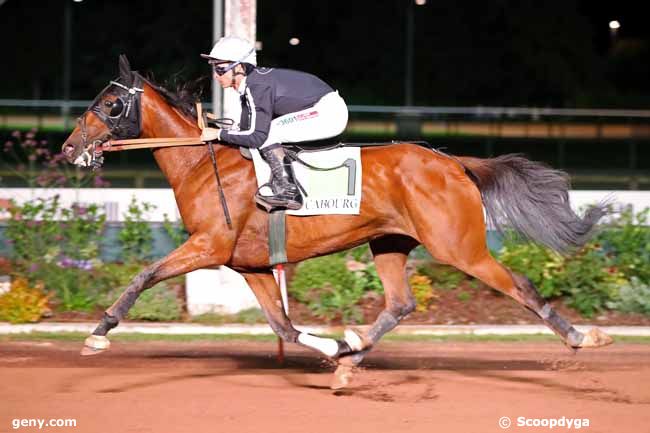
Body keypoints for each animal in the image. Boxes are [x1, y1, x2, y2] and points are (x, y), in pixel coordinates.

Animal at [63, 56, 612, 388]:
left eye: (109, 104)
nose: (69, 149)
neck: (202, 162)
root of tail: (452, 162)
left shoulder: (210, 246)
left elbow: (144, 275)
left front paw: (99, 332)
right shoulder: (250, 265)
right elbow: (284, 327)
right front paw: (334, 346)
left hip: (460, 247)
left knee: (520, 286)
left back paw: (583, 338)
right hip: (389, 243)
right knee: (400, 304)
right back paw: (351, 357)